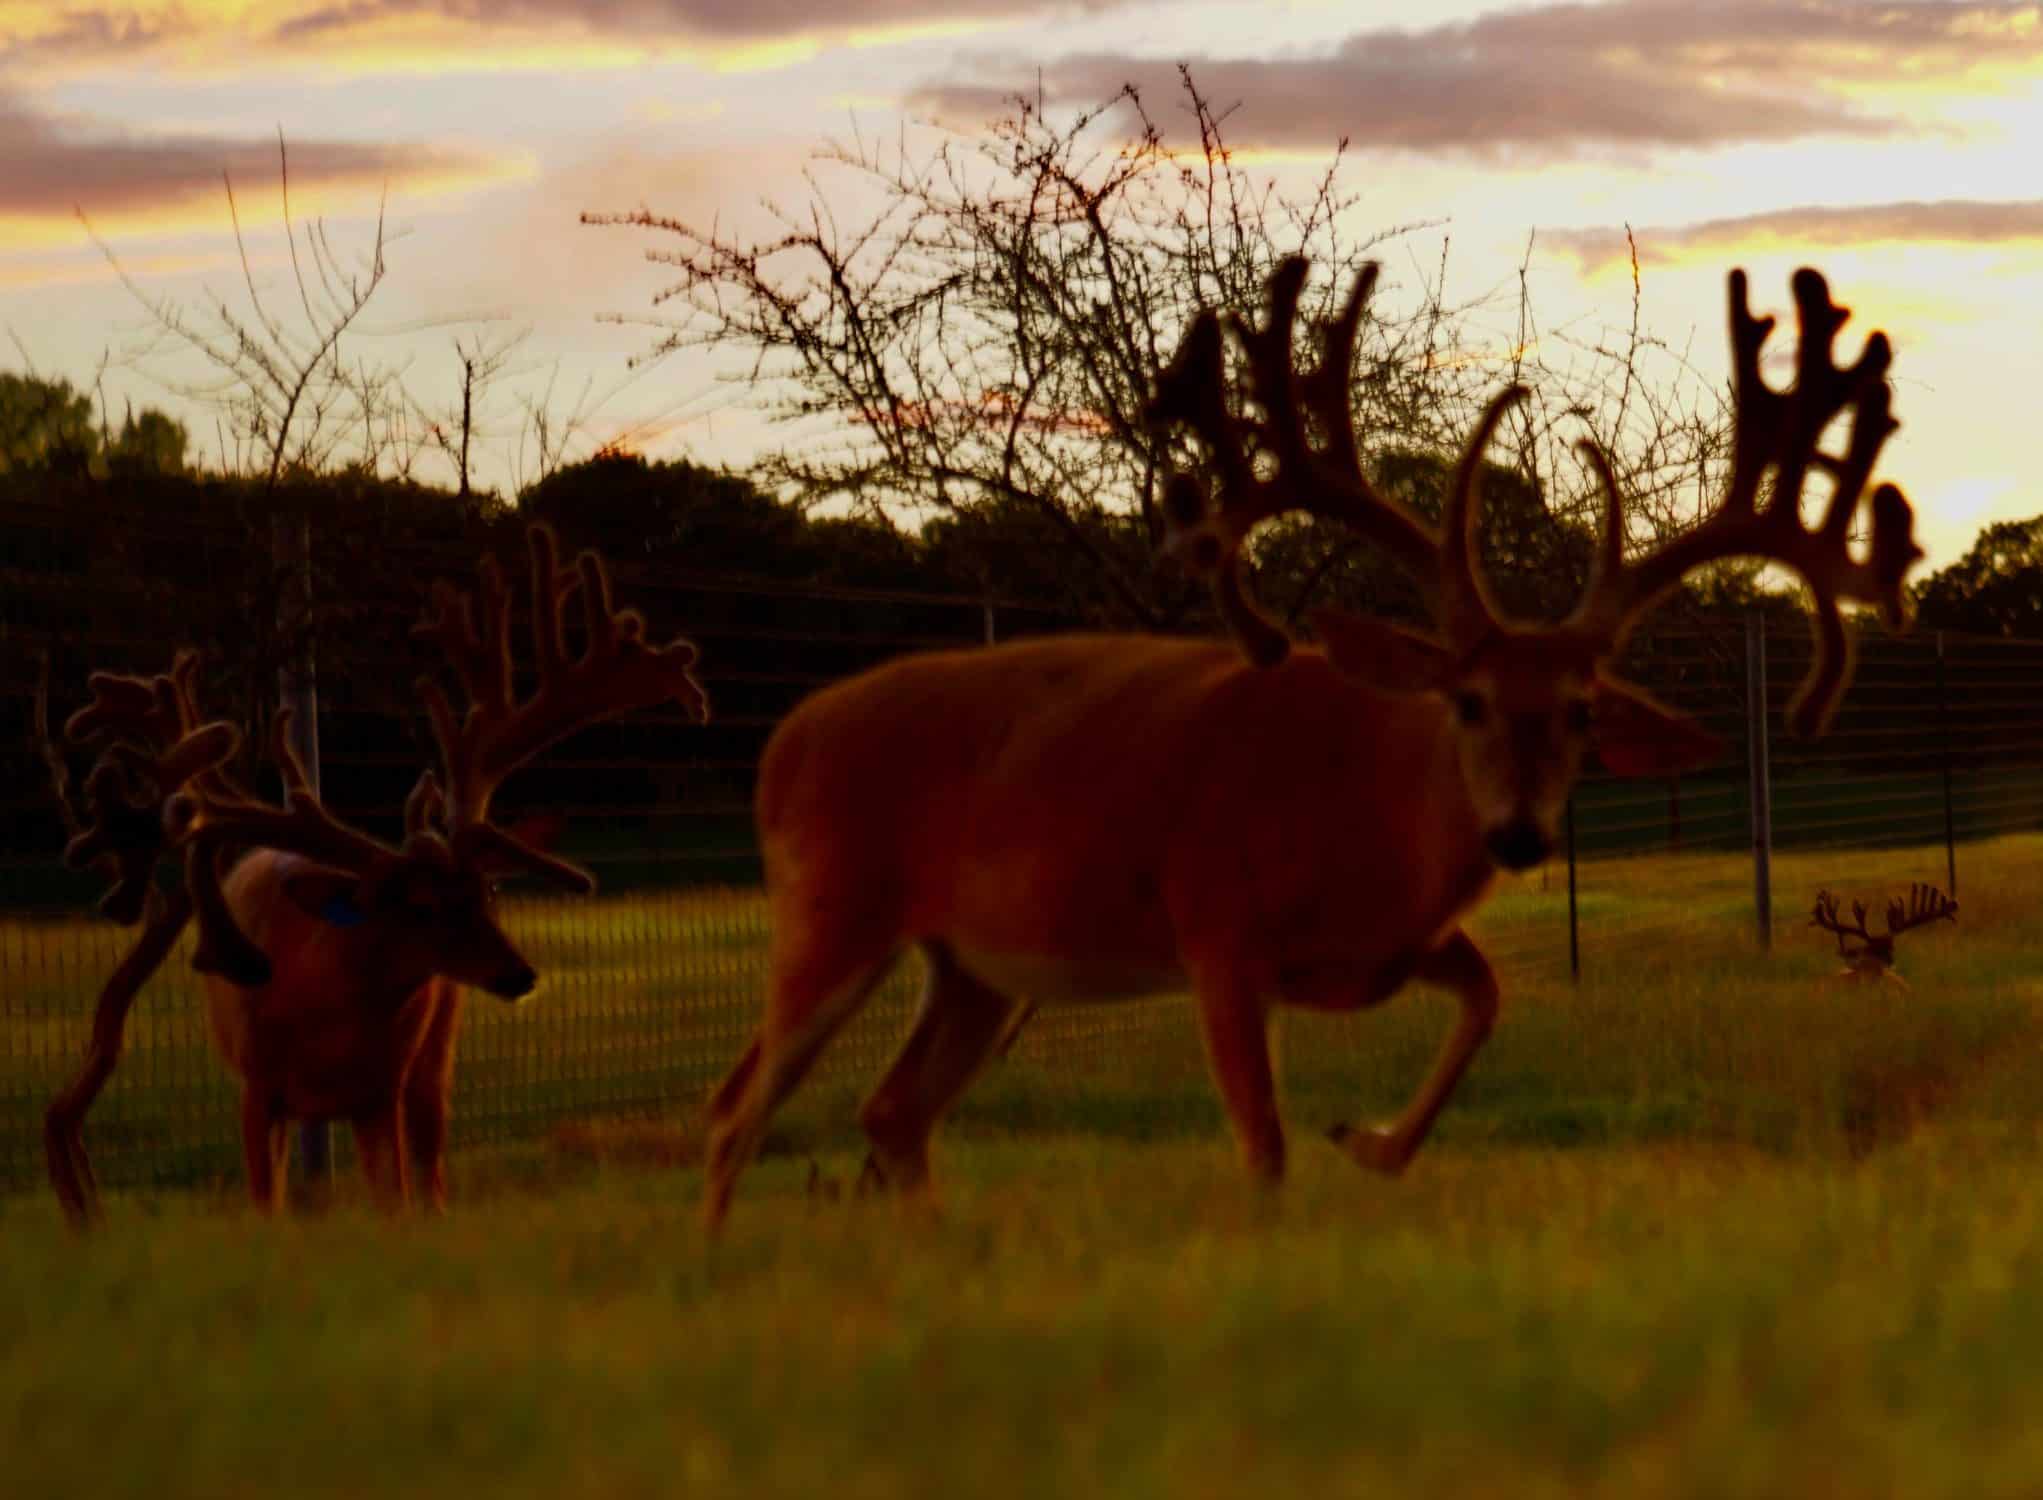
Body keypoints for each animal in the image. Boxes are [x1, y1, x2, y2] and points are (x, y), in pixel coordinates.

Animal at [38, 525, 707, 1226]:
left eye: (487, 891)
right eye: (417, 904)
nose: (519, 973)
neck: (318, 1003)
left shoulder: (380, 1090)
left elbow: (398, 1199)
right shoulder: (257, 1087)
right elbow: (267, 1201)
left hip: (434, 1056)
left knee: (432, 1165)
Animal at [699, 257, 1925, 1232]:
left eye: (1583, 711)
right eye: (1467, 700)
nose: (1520, 835)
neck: (1373, 819)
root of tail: (783, 743)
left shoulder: (1388, 945)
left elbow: (1488, 997)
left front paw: (1373, 1143)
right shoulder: (1215, 925)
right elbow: (1264, 1145)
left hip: (973, 964)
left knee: (888, 1109)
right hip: (834, 906)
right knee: (733, 1109)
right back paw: (714, 1274)